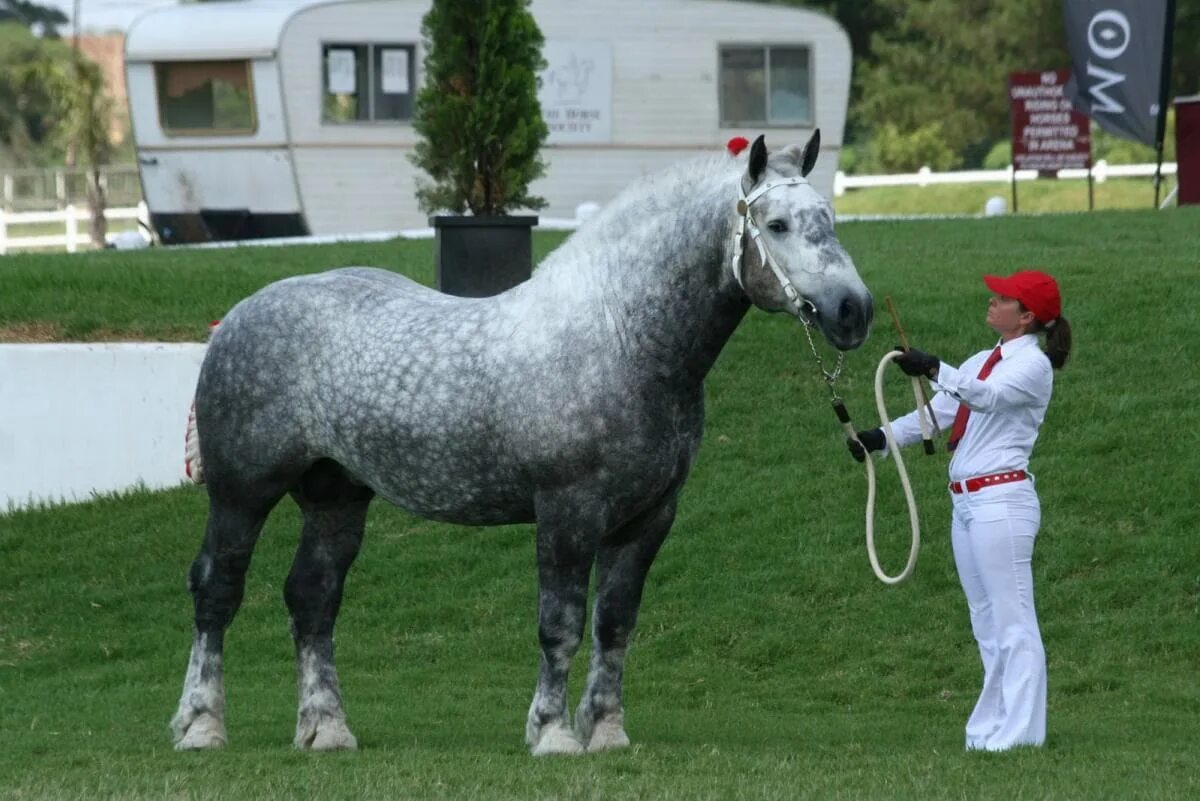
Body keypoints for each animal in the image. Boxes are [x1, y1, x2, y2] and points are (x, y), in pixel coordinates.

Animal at [171, 133, 873, 757]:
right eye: (777, 224)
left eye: (831, 219)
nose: (853, 311)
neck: (619, 338)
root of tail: (235, 318)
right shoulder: (567, 513)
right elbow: (559, 625)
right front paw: (554, 734)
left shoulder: (648, 518)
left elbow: (614, 624)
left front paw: (607, 733)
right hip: (242, 494)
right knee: (215, 591)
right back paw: (201, 725)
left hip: (335, 496)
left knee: (312, 598)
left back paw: (326, 730)